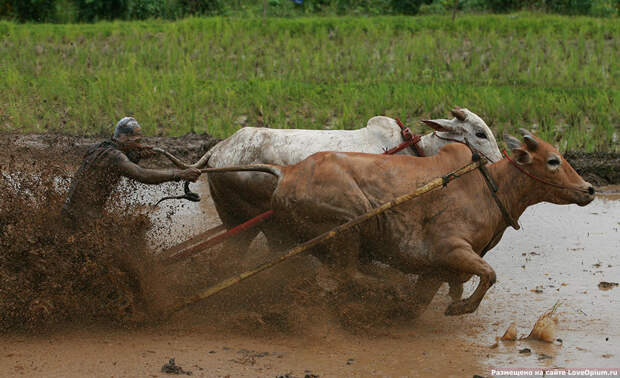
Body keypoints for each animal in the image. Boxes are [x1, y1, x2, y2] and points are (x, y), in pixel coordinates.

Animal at [242, 131, 596, 316]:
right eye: (553, 161)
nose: (590, 189)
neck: (490, 189)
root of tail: (287, 173)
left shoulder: (436, 271)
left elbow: (421, 301)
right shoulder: (452, 250)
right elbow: (489, 275)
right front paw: (459, 307)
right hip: (348, 221)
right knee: (343, 274)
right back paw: (388, 287)